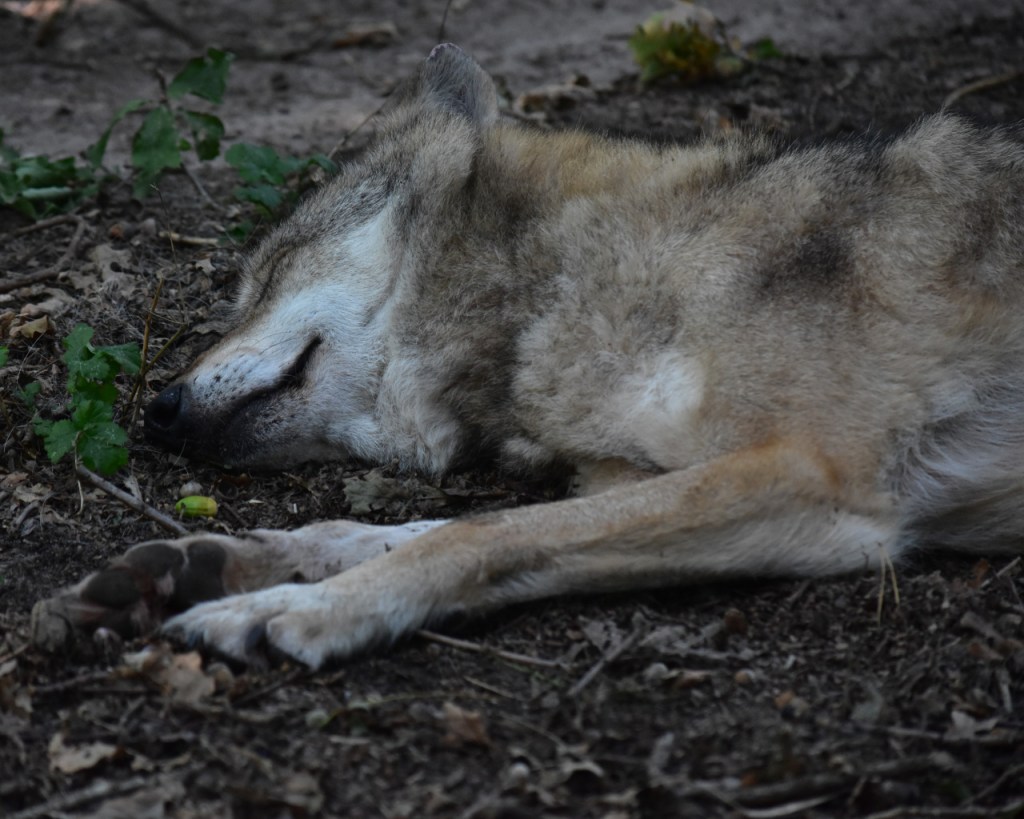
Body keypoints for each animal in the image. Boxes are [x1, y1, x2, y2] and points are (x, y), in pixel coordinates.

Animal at [34, 44, 1024, 668]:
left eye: (263, 278)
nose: (157, 413)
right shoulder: (674, 482)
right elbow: (385, 531)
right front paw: (209, 562)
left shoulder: (811, 481)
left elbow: (475, 530)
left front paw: (291, 611)